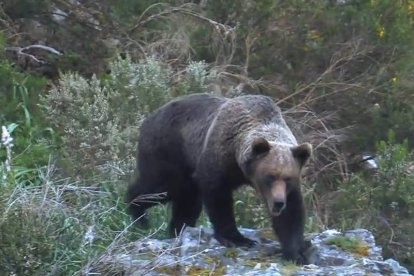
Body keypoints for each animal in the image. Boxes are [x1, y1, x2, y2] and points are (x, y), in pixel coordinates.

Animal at [126, 94, 314, 264]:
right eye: (270, 176)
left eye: (288, 178)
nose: (278, 202)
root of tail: (148, 118)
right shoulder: (219, 157)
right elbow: (218, 198)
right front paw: (237, 239)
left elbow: (291, 214)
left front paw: (296, 253)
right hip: (169, 150)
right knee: (162, 187)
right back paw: (138, 213)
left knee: (187, 201)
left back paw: (177, 229)